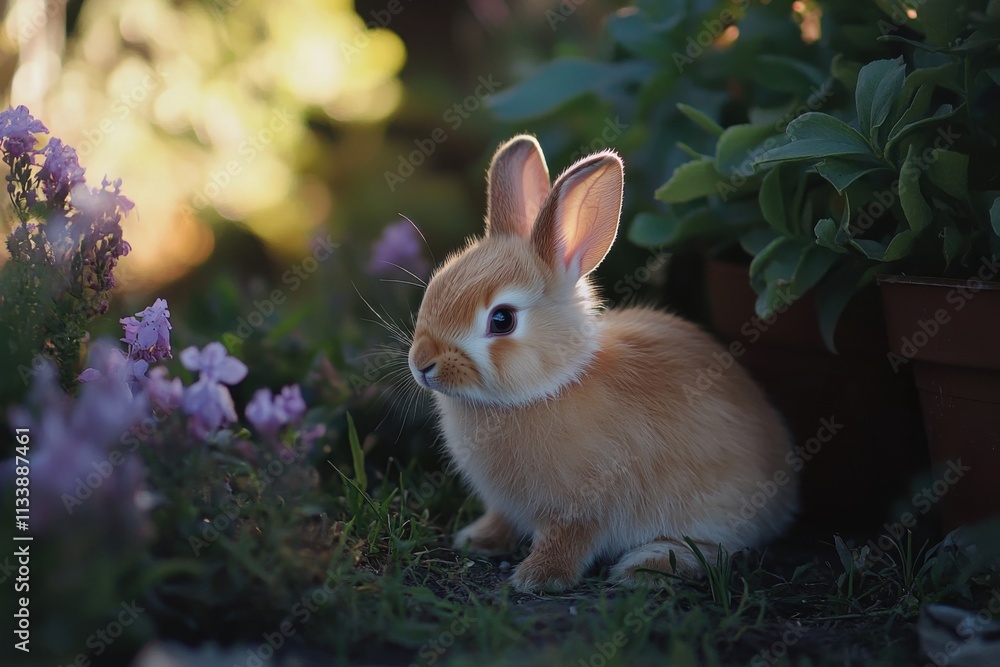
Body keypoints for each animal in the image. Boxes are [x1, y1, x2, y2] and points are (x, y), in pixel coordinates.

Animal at [407, 135, 798, 593]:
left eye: (501, 320)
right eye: (435, 285)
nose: (422, 364)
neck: (550, 387)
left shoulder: (583, 510)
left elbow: (569, 541)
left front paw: (537, 578)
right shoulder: (508, 505)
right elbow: (502, 520)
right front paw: (476, 539)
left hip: (713, 506)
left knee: (716, 548)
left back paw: (646, 567)